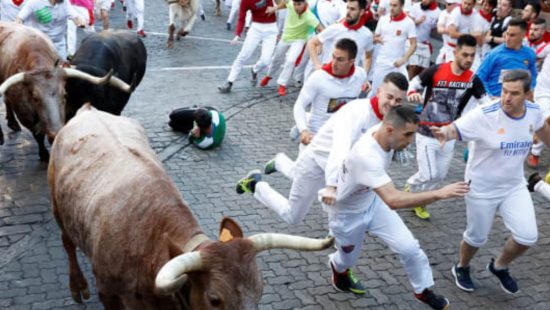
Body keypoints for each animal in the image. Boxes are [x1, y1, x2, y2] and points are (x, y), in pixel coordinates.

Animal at [0, 22, 132, 160]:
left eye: (64, 94)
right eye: (35, 97)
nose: (55, 134)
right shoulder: (25, 114)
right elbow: (38, 136)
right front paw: (44, 155)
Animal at [47, 105, 334, 308]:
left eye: (260, 291)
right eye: (214, 299)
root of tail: (88, 110)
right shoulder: (108, 292)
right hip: (58, 209)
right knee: (67, 243)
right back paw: (77, 286)